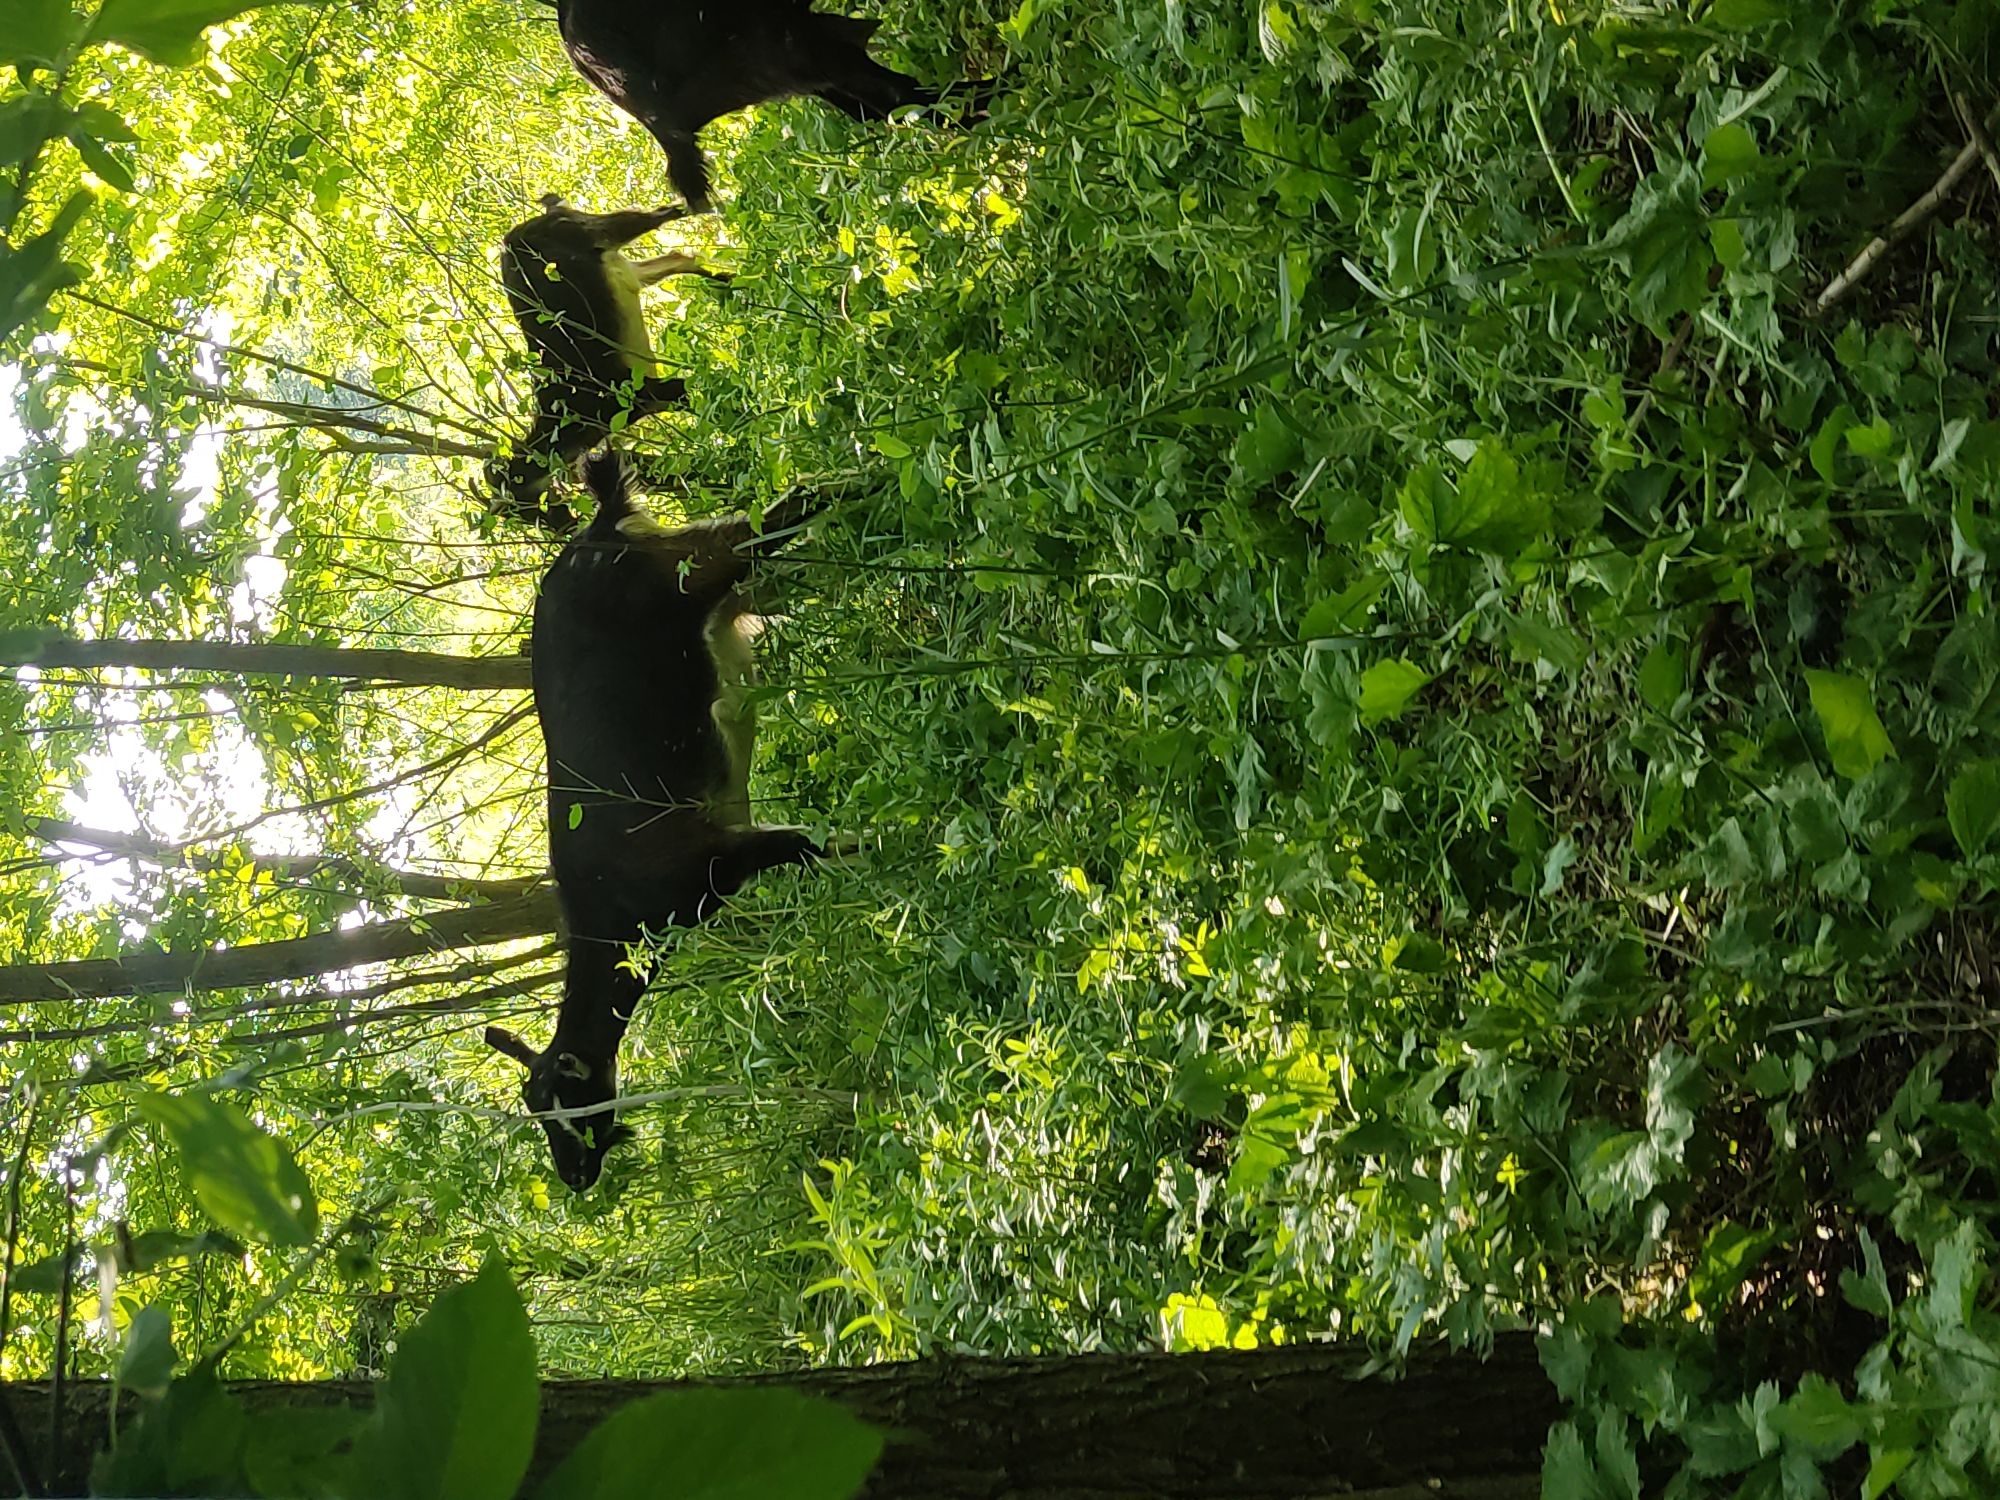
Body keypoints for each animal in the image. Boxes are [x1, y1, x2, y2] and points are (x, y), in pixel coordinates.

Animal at [487, 450, 821, 1190]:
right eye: (535, 1107)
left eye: (569, 1100)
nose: (575, 1179)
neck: (616, 913)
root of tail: (593, 531)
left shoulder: (714, 859)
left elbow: (812, 846)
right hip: (695, 565)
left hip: (683, 576)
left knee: (770, 523)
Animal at [488, 196, 722, 531]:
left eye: (527, 504)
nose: (565, 527)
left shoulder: (641, 391)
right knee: (681, 258)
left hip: (587, 229)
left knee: (648, 219)